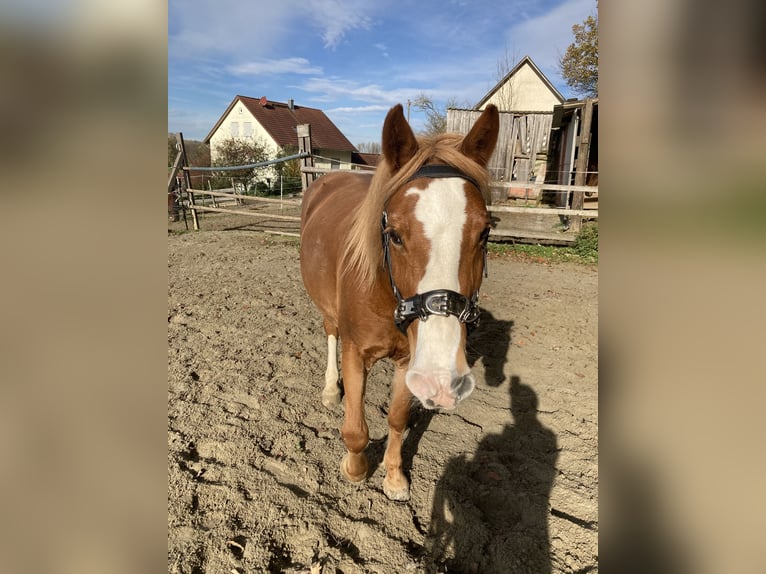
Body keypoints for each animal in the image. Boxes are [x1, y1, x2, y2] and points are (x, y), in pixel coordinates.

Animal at [296, 106, 500, 502]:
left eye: (484, 233)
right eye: (394, 235)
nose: (441, 376)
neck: (384, 293)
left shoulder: (409, 362)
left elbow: (396, 418)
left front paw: (393, 477)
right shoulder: (355, 353)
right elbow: (356, 427)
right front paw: (356, 469)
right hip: (329, 312)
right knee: (330, 333)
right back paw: (330, 390)